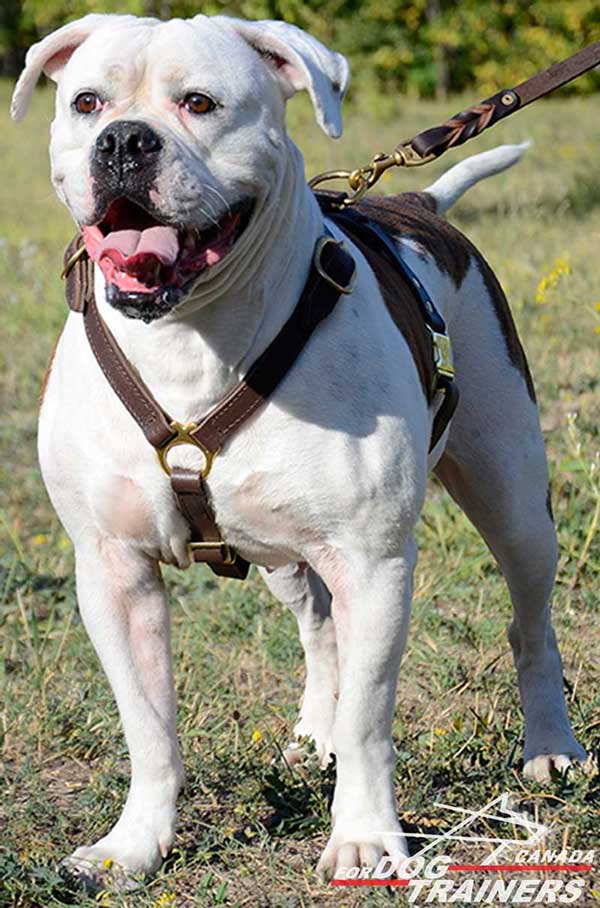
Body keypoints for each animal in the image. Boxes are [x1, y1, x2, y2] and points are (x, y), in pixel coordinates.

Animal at [12, 12, 584, 888]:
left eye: (200, 103)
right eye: (86, 102)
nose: (123, 141)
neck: (189, 336)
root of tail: (413, 198)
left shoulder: (374, 561)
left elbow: (372, 717)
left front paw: (363, 838)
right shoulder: (111, 569)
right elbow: (148, 725)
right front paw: (133, 845)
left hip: (515, 500)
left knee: (530, 624)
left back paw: (551, 748)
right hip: (284, 549)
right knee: (319, 628)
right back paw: (316, 729)